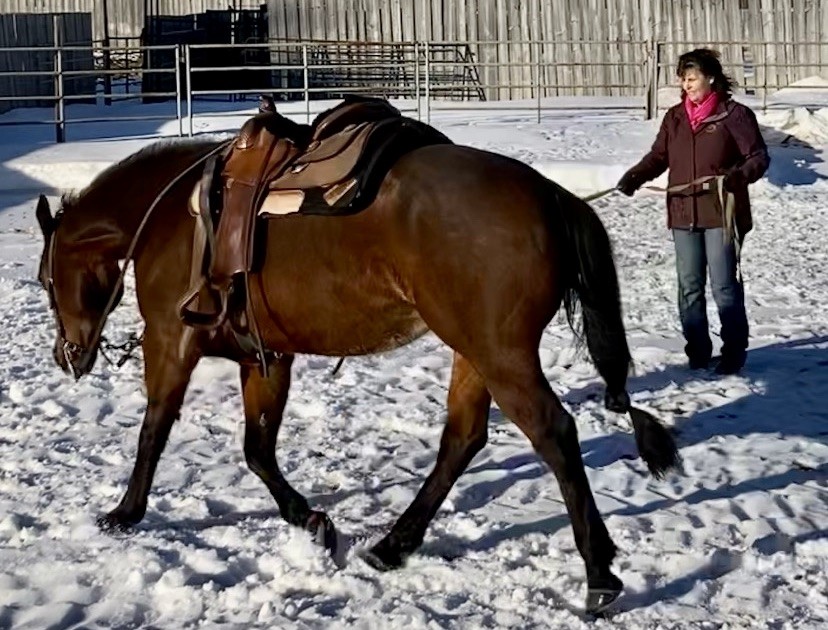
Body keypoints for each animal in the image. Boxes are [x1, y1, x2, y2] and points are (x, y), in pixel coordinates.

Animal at [35, 113, 679, 614]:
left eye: (46, 279)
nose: (67, 355)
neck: (172, 214)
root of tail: (548, 194)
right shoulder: (267, 357)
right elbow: (258, 448)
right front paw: (311, 521)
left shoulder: (169, 343)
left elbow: (154, 432)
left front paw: (126, 512)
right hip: (475, 350)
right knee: (462, 439)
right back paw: (394, 545)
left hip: (501, 354)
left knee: (554, 434)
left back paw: (598, 573)